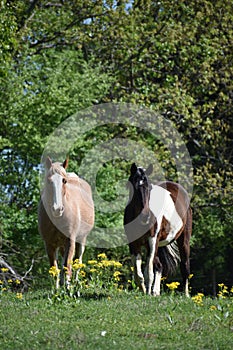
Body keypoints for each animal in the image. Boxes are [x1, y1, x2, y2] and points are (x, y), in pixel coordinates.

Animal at [37, 157, 94, 286]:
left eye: (64, 181)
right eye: (48, 180)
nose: (57, 209)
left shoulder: (70, 240)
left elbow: (67, 265)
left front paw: (68, 287)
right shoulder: (49, 244)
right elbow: (55, 269)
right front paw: (57, 288)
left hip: (81, 240)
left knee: (78, 260)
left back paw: (76, 282)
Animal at [123, 163, 192, 296]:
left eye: (148, 187)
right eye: (133, 186)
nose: (145, 216)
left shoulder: (152, 240)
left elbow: (148, 271)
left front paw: (147, 293)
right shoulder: (133, 244)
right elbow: (138, 273)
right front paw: (144, 290)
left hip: (183, 239)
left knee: (185, 265)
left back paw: (186, 295)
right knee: (159, 266)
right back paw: (156, 291)